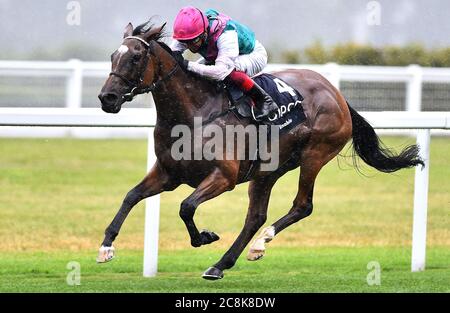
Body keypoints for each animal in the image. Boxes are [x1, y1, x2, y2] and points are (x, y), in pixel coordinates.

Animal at [96, 22, 424, 280]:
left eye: (136, 57)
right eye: (113, 55)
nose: (107, 97)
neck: (195, 113)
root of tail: (337, 94)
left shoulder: (223, 177)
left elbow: (186, 207)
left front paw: (205, 237)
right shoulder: (168, 173)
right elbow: (131, 196)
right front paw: (106, 247)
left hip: (315, 155)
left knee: (302, 206)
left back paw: (259, 244)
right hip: (267, 170)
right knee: (255, 216)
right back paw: (221, 264)